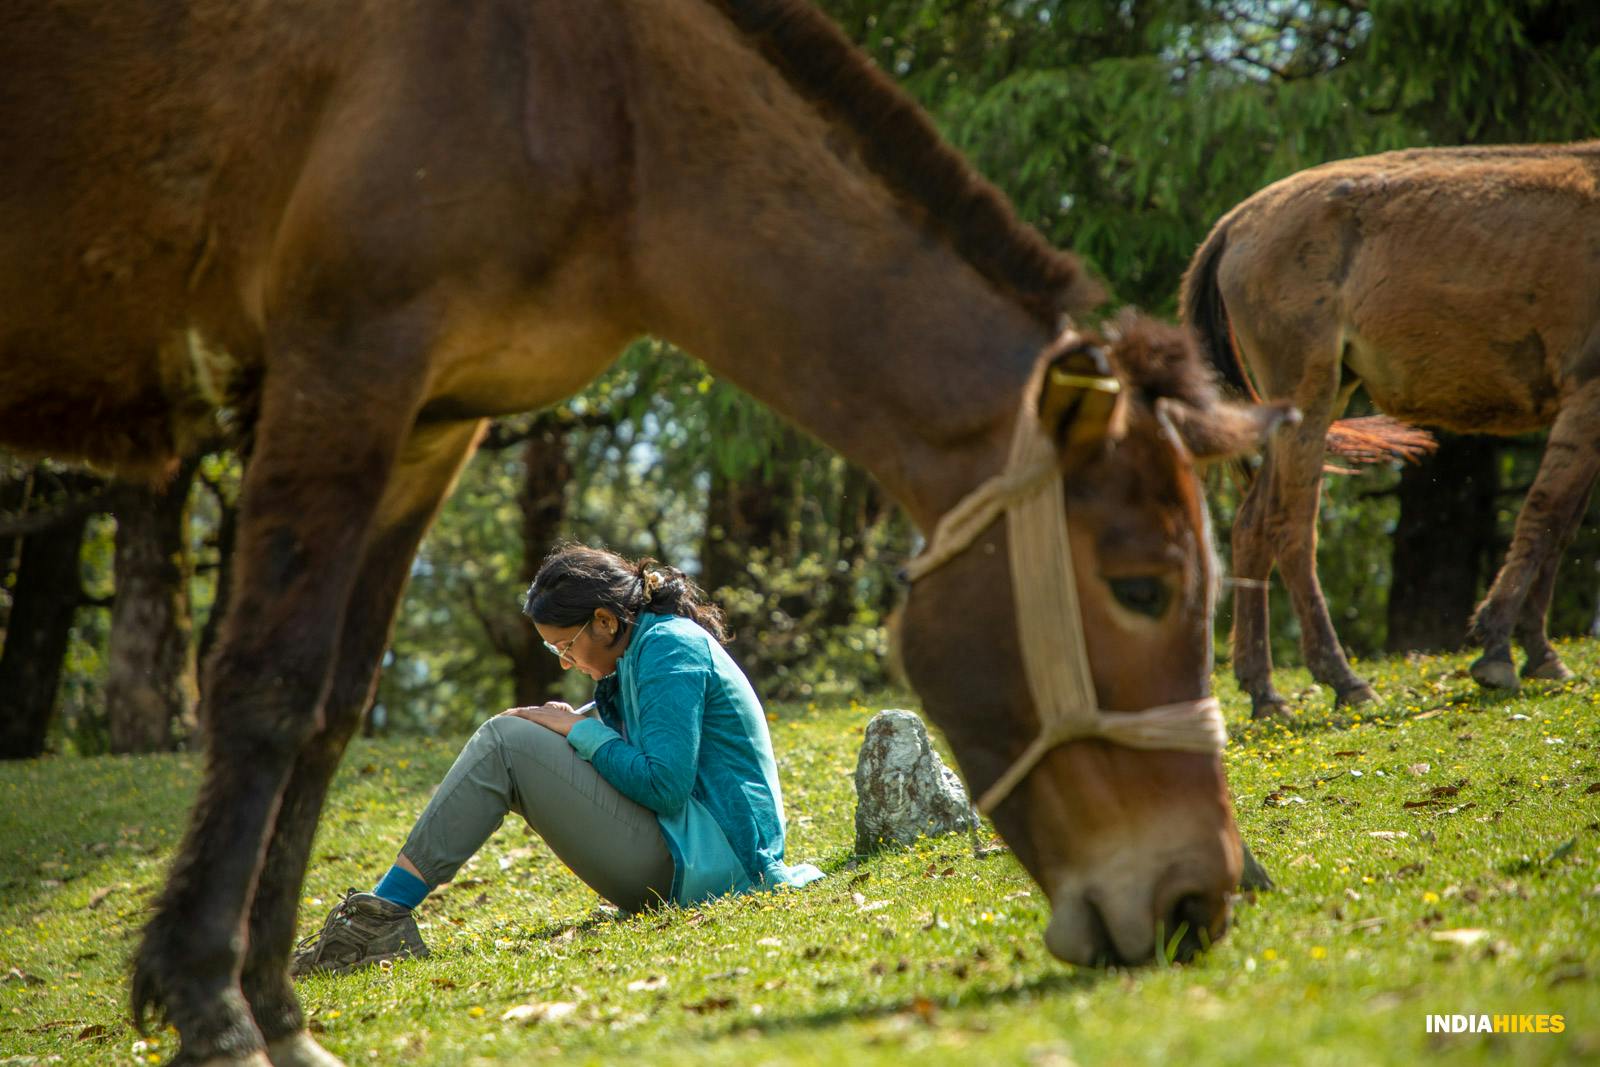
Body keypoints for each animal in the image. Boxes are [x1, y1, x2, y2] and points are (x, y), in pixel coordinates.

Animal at [0, 2, 1273, 1067]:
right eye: (1144, 585)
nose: (1201, 894)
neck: (589, 96)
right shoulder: (345, 367)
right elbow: (270, 689)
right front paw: (215, 1008)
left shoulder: (426, 419)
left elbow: (330, 710)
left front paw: (273, 1011)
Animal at [1177, 139, 1600, 716]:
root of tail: (1236, 223)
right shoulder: (1587, 394)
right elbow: (1545, 516)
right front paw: (1497, 651)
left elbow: (1559, 527)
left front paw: (1540, 652)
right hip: (1307, 396)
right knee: (1290, 527)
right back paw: (1343, 679)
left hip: (1321, 399)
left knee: (1251, 526)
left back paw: (1264, 692)